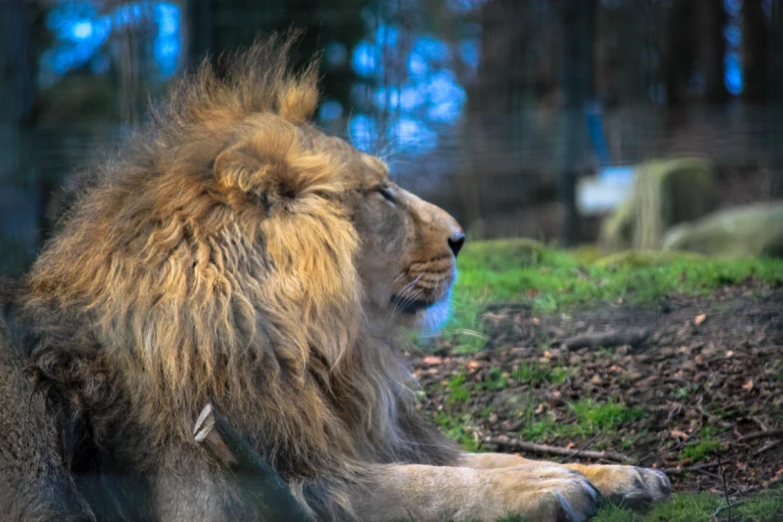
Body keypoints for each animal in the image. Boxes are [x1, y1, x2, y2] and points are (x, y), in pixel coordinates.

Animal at [1, 34, 672, 516]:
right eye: (381, 193)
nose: (460, 238)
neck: (314, 354)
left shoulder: (345, 437)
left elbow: (477, 456)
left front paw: (621, 473)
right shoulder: (245, 486)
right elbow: (423, 486)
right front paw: (543, 488)